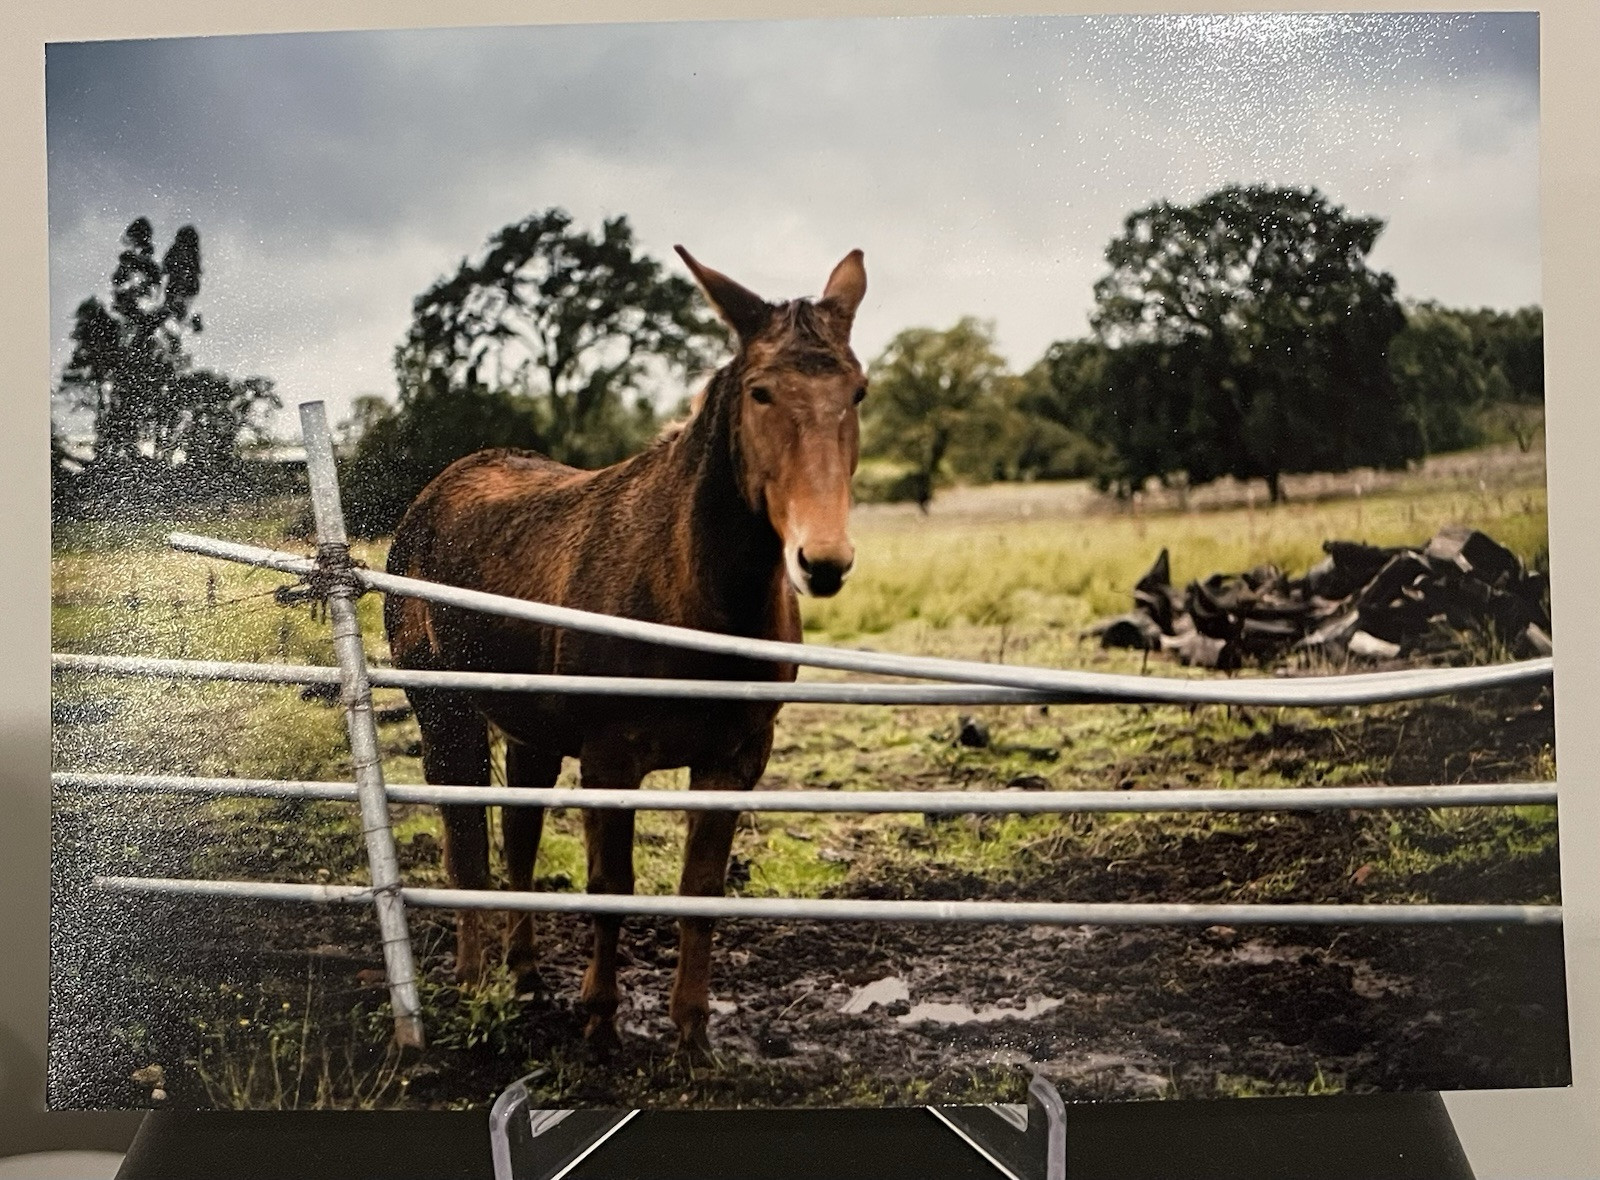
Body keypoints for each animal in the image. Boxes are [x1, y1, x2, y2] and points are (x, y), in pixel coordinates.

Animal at [382, 247, 867, 1056]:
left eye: (858, 391)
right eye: (761, 392)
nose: (822, 560)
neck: (696, 602)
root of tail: (436, 491)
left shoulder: (735, 759)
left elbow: (701, 890)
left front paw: (693, 1033)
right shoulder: (611, 760)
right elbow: (609, 886)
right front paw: (602, 1021)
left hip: (532, 732)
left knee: (516, 836)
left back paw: (524, 975)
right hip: (447, 717)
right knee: (465, 840)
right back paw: (474, 979)